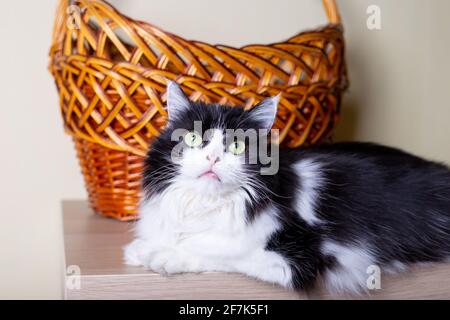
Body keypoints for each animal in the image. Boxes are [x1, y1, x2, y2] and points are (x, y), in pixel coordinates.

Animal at [123, 81, 450, 294]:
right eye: (192, 138)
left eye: (238, 145)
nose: (213, 158)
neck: (205, 206)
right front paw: (143, 248)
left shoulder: (302, 257)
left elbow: (221, 252)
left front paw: (163, 254)